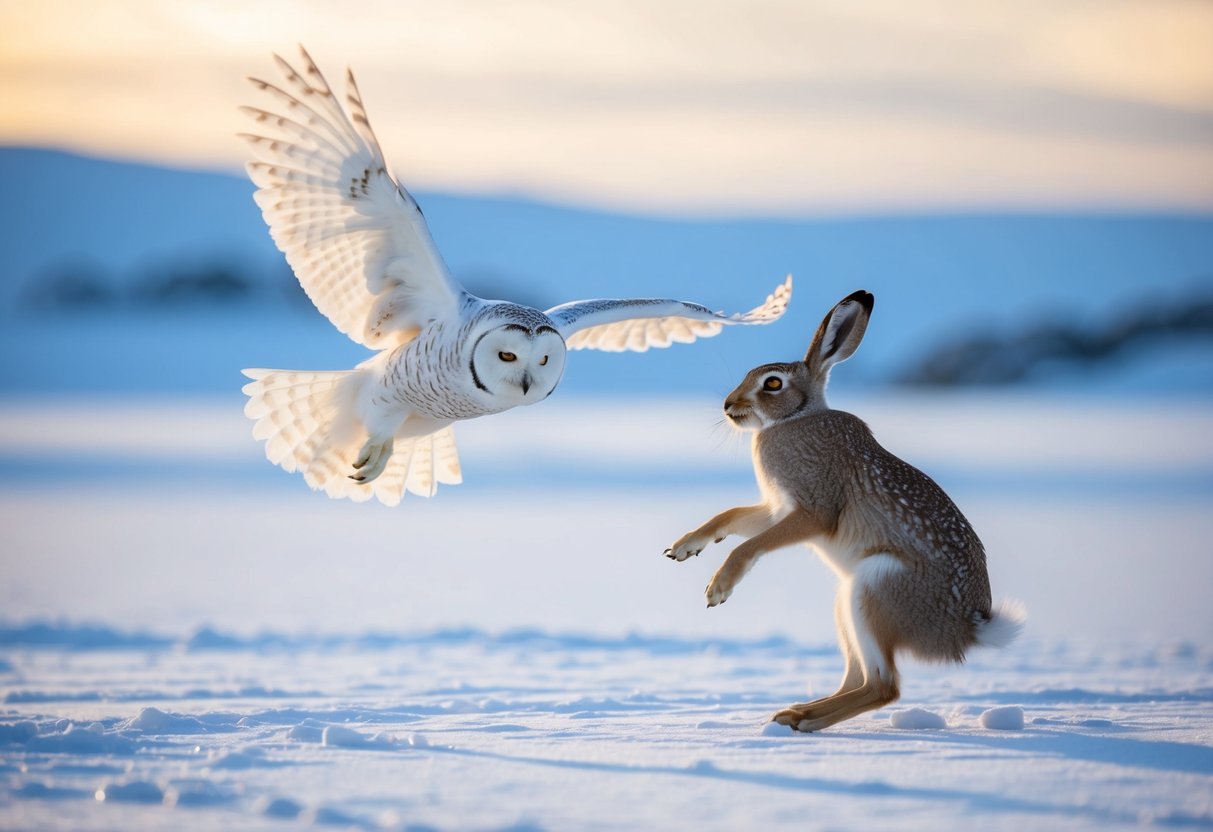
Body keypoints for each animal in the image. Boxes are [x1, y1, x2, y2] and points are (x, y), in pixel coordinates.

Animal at [665, 289, 1023, 732]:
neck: (795, 418)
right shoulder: (778, 508)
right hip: (848, 602)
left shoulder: (814, 511)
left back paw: (803, 720)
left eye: (772, 383)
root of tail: (965, 631)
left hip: (875, 589)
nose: (729, 405)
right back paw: (797, 710)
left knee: (883, 687)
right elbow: (730, 517)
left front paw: (718, 588)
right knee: (858, 679)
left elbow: (749, 546)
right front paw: (685, 547)